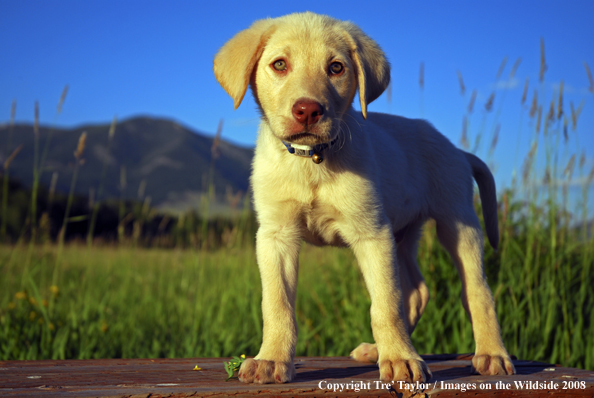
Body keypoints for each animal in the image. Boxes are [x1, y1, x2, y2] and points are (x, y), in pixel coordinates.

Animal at [213, 11, 512, 382]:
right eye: (279, 64)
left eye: (336, 68)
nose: (307, 110)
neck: (312, 161)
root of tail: (457, 150)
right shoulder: (275, 235)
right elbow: (277, 304)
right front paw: (271, 359)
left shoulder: (372, 233)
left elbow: (385, 302)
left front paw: (400, 358)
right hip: (403, 234)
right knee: (418, 291)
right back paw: (375, 350)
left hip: (456, 222)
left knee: (476, 290)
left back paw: (492, 353)